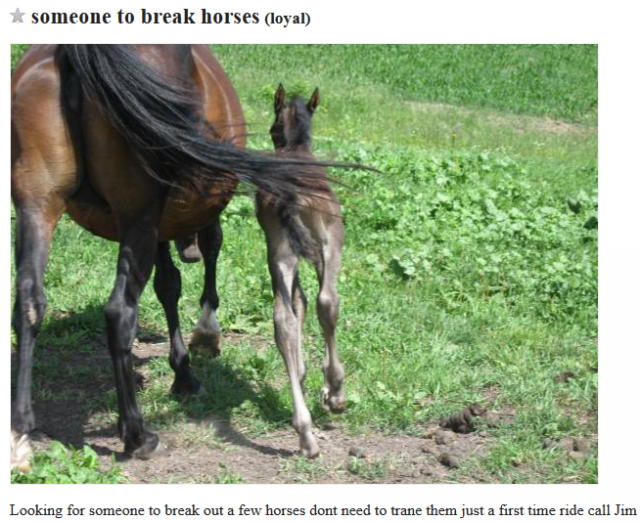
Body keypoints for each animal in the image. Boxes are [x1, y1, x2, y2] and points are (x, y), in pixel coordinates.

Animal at [11, 45, 358, 459]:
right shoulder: (201, 210)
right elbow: (213, 255)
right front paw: (205, 337)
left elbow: (169, 286)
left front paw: (184, 371)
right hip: (148, 215)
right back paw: (139, 435)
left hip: (38, 205)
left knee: (30, 302)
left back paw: (21, 433)